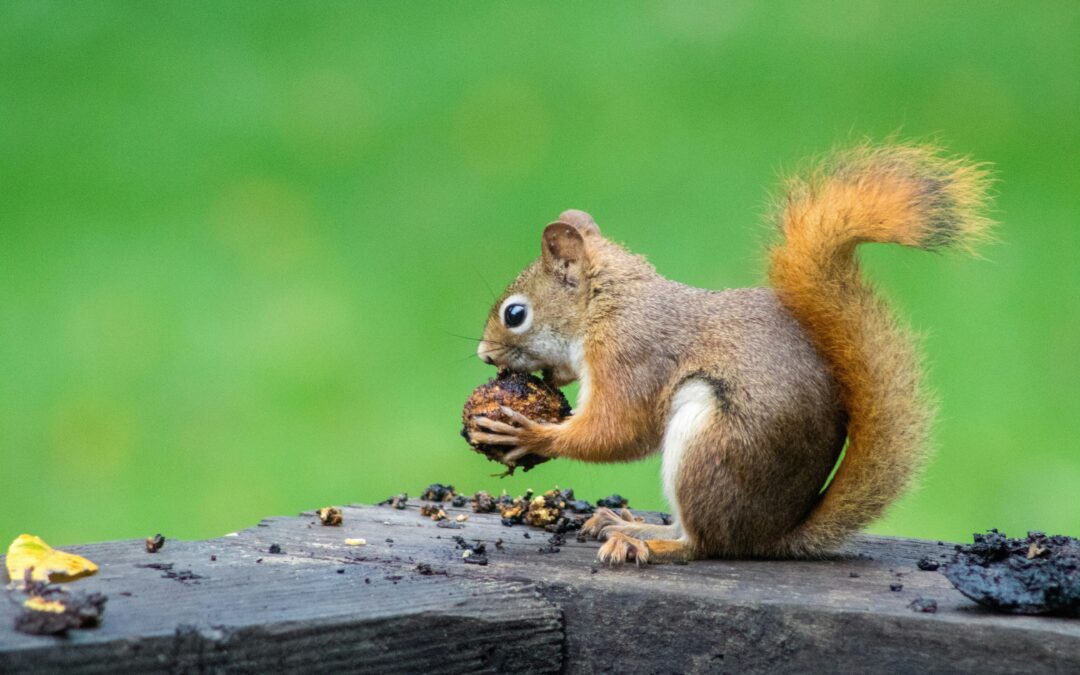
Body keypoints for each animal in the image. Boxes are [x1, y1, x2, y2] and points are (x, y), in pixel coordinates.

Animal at [470, 144, 992, 563]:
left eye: (515, 314)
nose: (483, 355)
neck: (608, 305)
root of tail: (770, 536)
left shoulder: (632, 355)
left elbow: (619, 430)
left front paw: (531, 433)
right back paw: (625, 523)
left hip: (709, 444)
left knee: (702, 544)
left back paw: (646, 542)